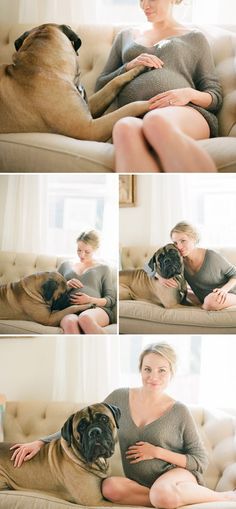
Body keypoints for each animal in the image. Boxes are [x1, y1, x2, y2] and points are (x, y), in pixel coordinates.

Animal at [0, 24, 149, 141]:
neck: (42, 66)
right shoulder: (90, 128)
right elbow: (128, 108)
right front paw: (150, 103)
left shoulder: (89, 106)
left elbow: (112, 83)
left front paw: (139, 66)